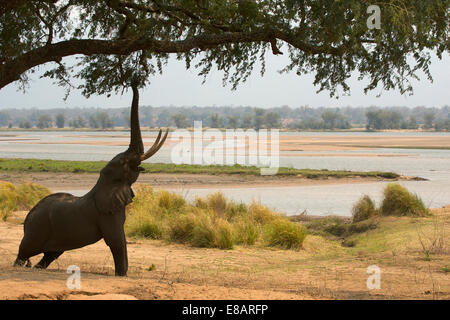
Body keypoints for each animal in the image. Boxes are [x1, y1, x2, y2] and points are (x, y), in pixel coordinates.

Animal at [14, 85, 169, 276]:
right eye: (123, 162)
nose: (133, 84)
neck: (103, 184)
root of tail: (27, 217)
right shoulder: (106, 212)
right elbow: (116, 241)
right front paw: (121, 275)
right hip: (37, 229)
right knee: (24, 251)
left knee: (50, 255)